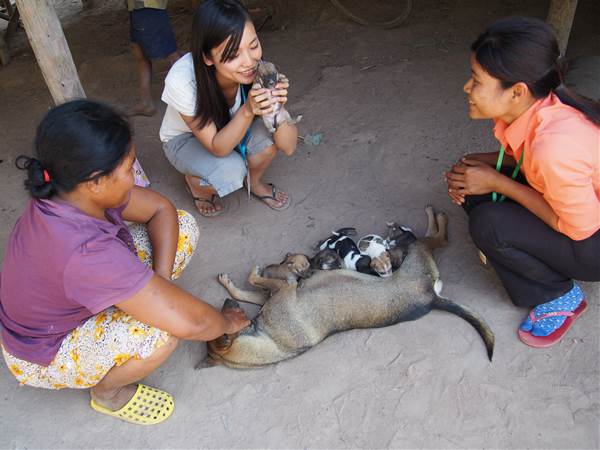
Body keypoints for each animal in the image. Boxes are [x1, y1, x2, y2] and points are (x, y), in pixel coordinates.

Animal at [209, 207, 494, 370]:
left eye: (223, 313)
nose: (274, 264)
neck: (269, 340)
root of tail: (432, 297)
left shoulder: (283, 289)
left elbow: (251, 284)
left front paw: (242, 278)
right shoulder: (283, 290)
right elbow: (250, 286)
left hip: (414, 251)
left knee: (436, 238)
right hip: (415, 250)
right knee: (436, 239)